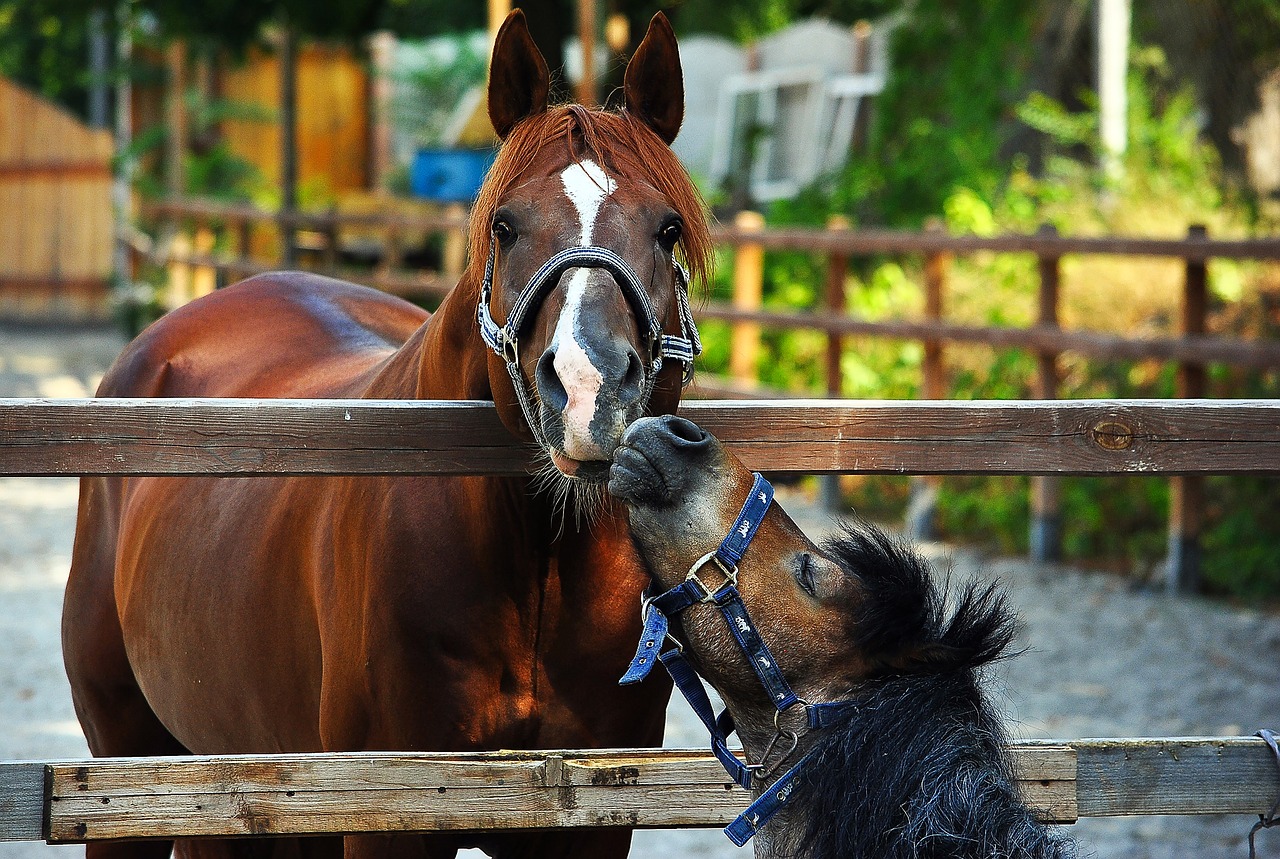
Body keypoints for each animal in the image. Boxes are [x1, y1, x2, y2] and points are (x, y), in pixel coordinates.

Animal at [63, 12, 710, 859]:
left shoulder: (588, 826)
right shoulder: (390, 815)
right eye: (504, 227)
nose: (588, 388)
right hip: (127, 770)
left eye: (667, 230)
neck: (536, 563)